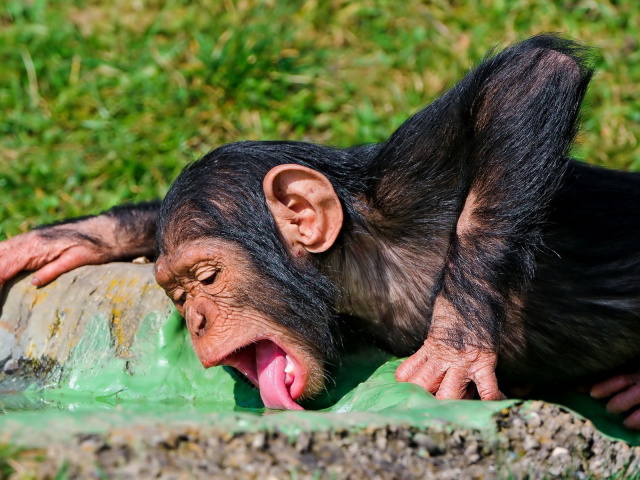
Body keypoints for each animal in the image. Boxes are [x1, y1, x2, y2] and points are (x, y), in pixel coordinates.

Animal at [2, 35, 640, 427]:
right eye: (177, 295)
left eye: (206, 278)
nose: (197, 319)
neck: (355, 263)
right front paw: (76, 237)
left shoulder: (412, 182)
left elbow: (529, 78)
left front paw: (453, 348)